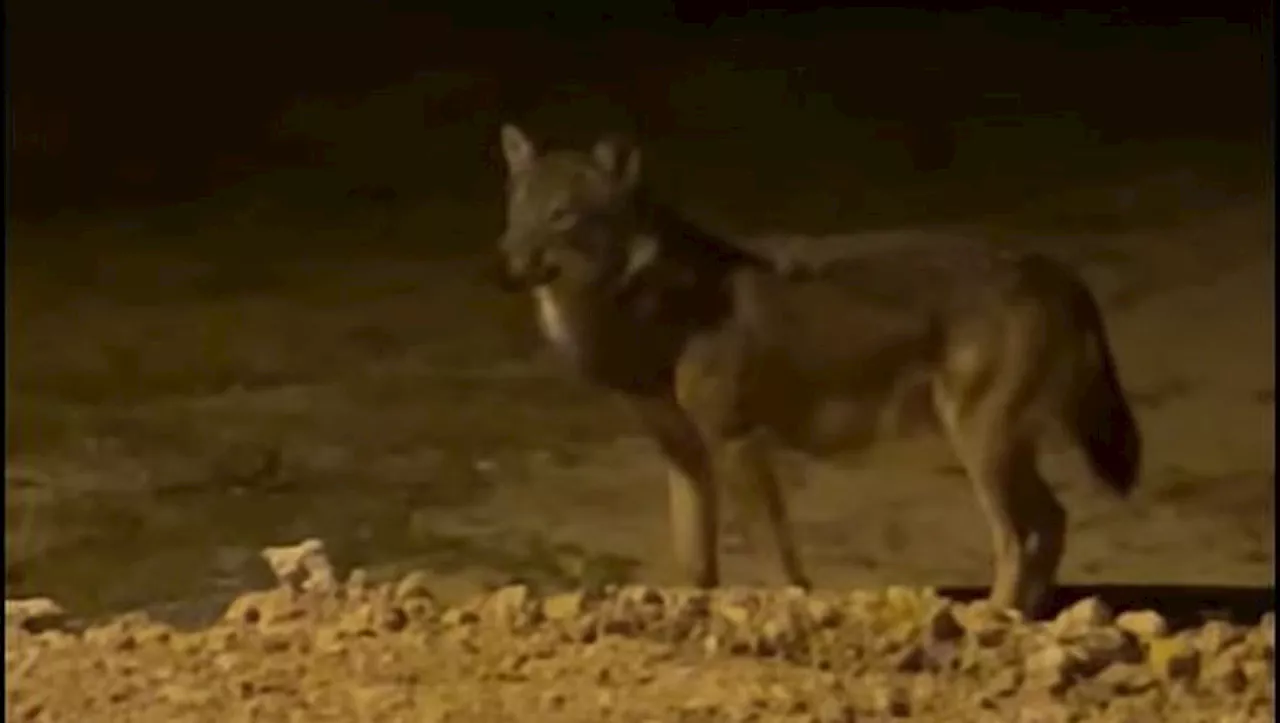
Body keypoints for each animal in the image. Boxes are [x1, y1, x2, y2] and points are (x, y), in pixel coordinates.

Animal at [494, 124, 1146, 614]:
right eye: (515, 214)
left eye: (562, 216)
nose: (505, 268)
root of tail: (1053, 267)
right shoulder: (684, 454)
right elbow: (695, 560)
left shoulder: (737, 443)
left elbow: (775, 553)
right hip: (999, 447)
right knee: (1052, 522)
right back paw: (1025, 617)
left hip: (979, 447)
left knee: (1017, 537)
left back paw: (998, 615)